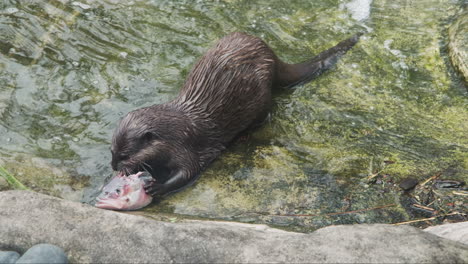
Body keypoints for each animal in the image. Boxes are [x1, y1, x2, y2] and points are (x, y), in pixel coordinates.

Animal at [111, 31, 360, 198]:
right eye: (112, 151)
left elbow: (189, 171)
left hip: (262, 97)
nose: (113, 166)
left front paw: (158, 186)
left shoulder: (185, 146)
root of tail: (271, 54)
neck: (175, 128)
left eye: (125, 155)